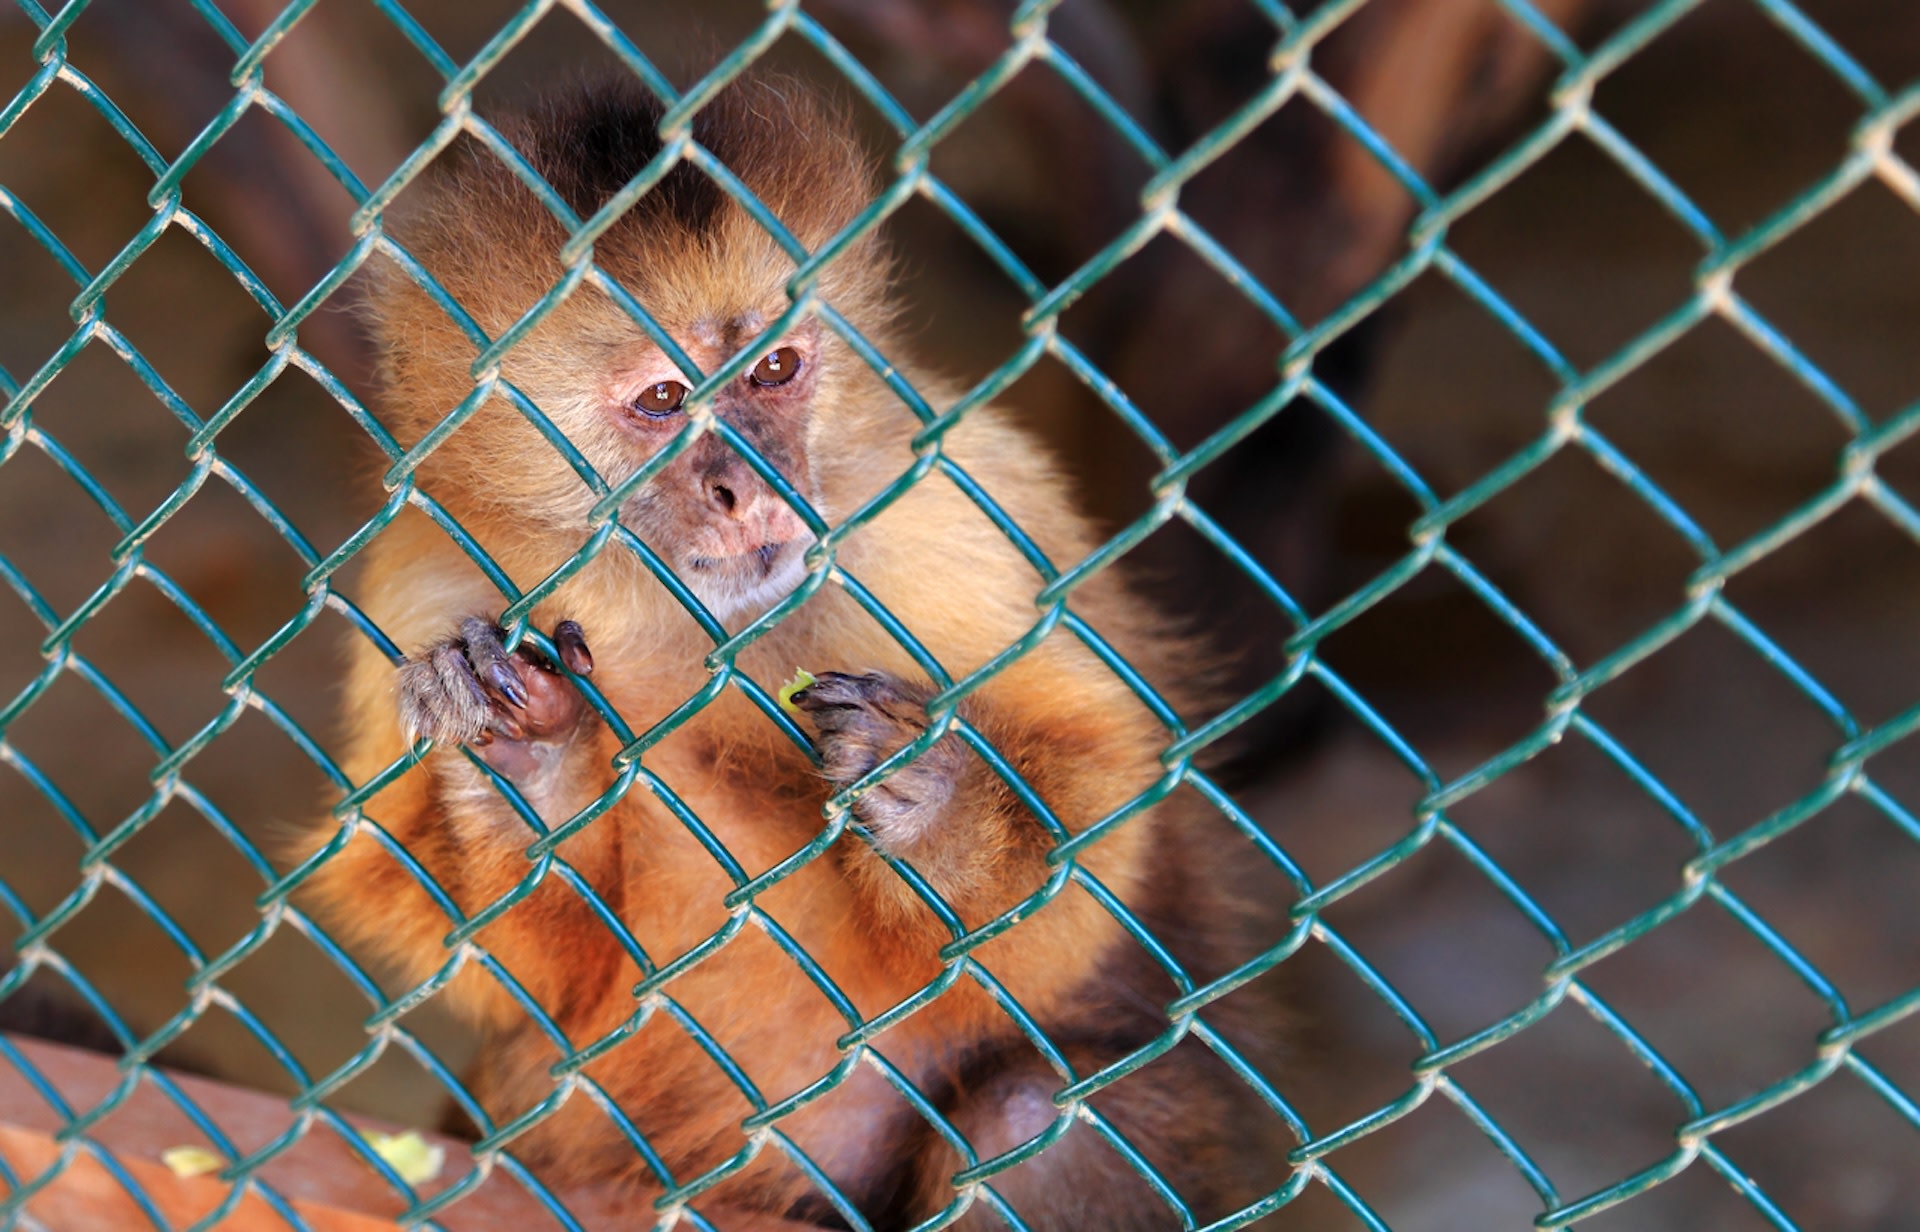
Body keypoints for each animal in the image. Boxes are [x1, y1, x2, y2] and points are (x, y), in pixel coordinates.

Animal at [303, 76, 1290, 1228]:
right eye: (664, 400)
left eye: (775, 369)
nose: (752, 484)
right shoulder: (426, 564)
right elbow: (522, 975)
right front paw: (527, 760)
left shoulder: (951, 505)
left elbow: (1083, 862)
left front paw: (935, 804)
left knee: (1035, 1125)